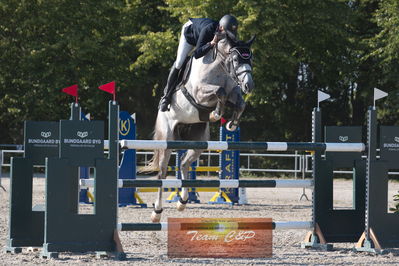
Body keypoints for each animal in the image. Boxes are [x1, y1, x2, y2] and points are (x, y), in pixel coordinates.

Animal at [146, 35, 253, 222]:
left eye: (250, 59)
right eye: (235, 59)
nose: (249, 85)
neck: (220, 67)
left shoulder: (233, 91)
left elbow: (239, 102)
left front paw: (231, 124)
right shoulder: (200, 93)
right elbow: (220, 92)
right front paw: (216, 114)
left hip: (199, 142)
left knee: (184, 164)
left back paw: (182, 202)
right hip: (167, 140)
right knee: (162, 173)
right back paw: (157, 212)